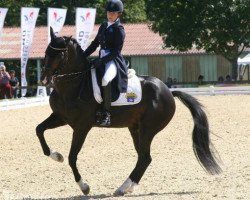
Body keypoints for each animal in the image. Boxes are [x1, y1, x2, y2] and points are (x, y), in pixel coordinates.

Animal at [36, 27, 221, 196]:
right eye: (46, 52)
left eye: (59, 55)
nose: (43, 80)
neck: (74, 84)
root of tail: (168, 91)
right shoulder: (61, 117)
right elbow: (39, 130)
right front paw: (56, 155)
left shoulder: (82, 126)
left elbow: (72, 156)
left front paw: (84, 187)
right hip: (135, 128)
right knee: (143, 157)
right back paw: (127, 187)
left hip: (148, 128)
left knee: (145, 157)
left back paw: (122, 187)